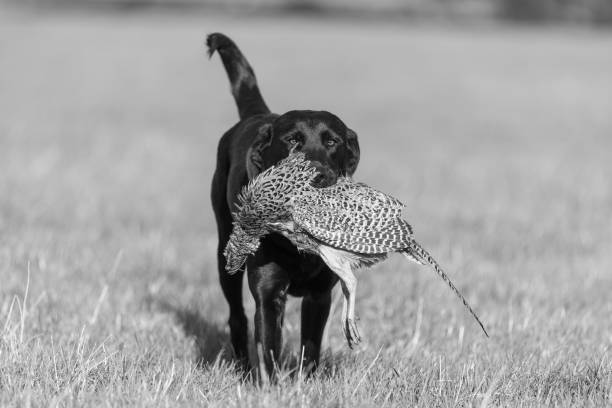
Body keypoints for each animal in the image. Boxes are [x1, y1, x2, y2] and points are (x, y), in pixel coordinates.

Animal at [207, 31, 358, 376]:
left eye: (332, 141)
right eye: (292, 140)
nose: (317, 175)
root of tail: (257, 115)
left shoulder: (319, 295)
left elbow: (311, 348)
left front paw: (307, 381)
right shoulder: (269, 293)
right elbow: (269, 348)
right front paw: (268, 383)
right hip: (226, 253)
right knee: (237, 317)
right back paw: (242, 366)